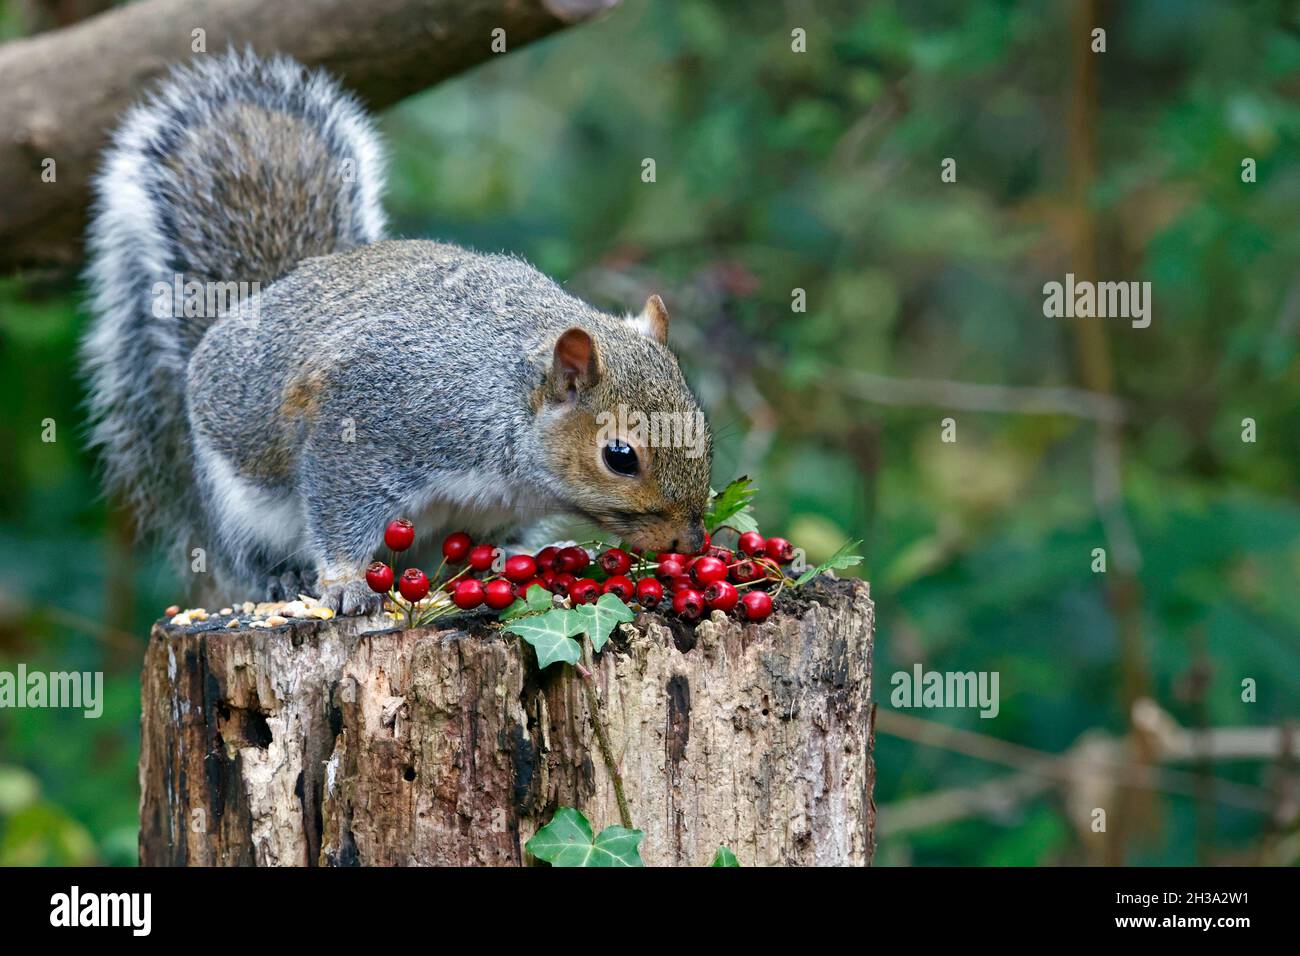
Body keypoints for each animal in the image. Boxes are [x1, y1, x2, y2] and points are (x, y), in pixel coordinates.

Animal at [83, 50, 712, 613]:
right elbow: (339, 506)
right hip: (236, 501)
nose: (689, 542)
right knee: (247, 555)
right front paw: (344, 583)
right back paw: (282, 579)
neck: (507, 404)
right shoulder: (374, 419)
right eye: (619, 456)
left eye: (703, 427)